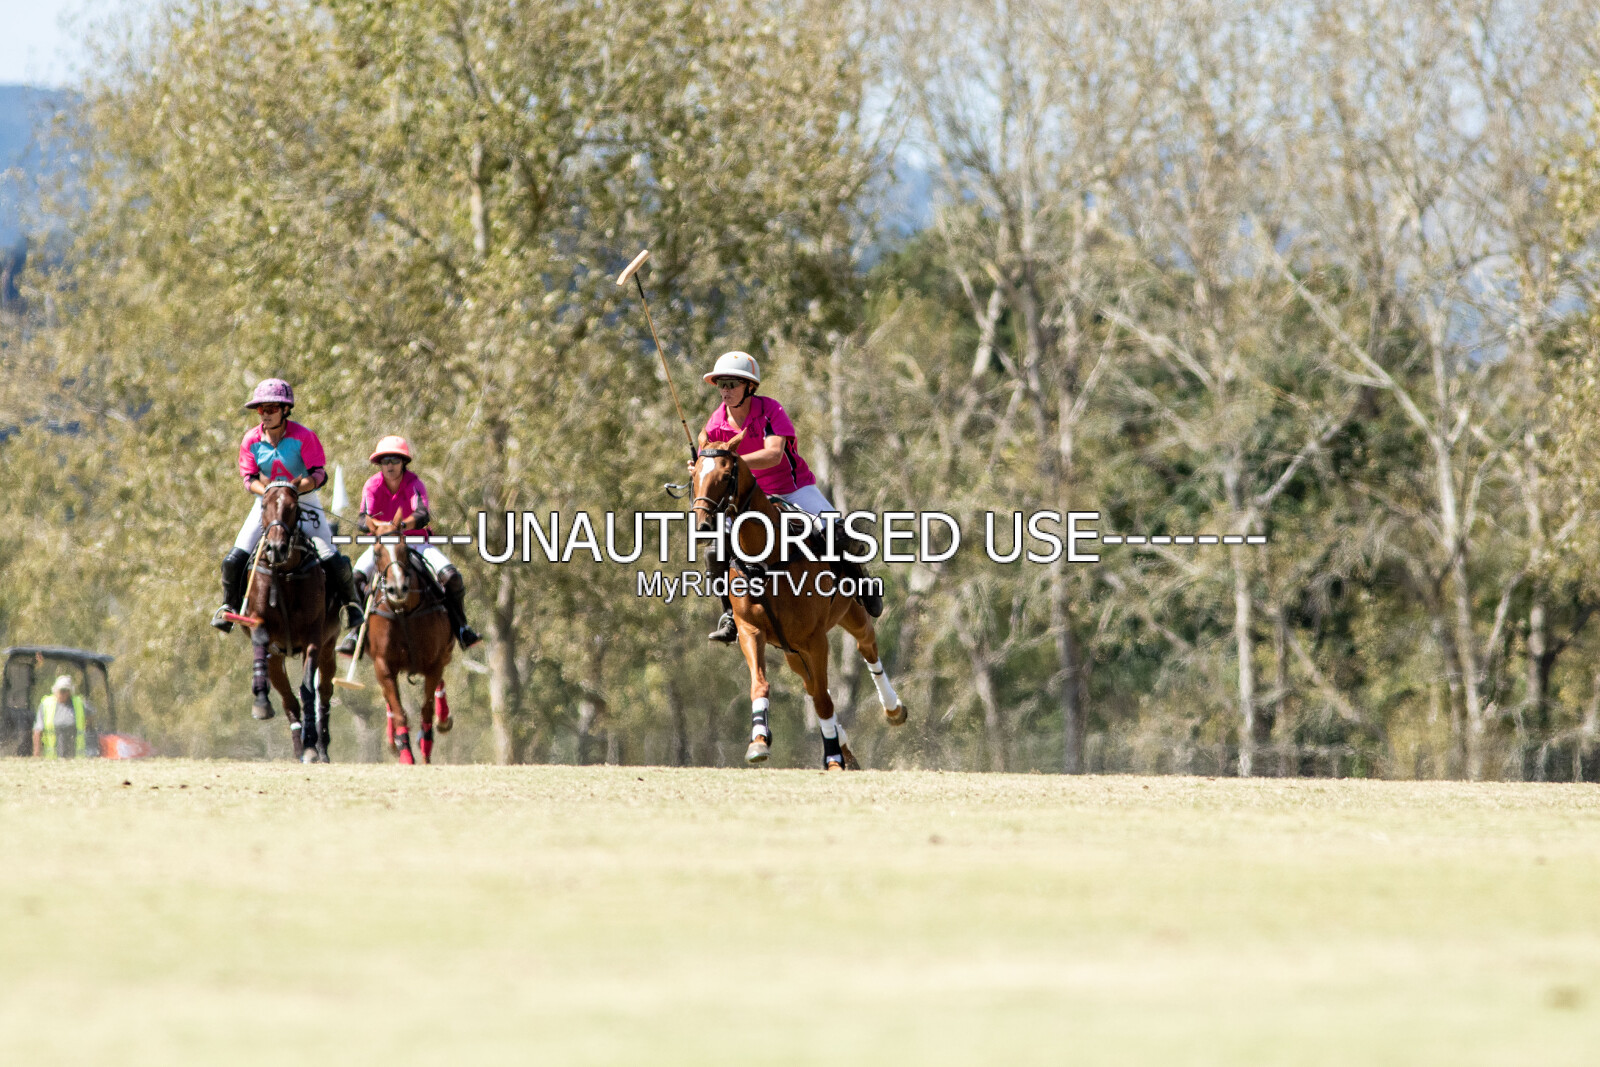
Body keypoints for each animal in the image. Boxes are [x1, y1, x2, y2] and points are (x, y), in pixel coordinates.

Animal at [240, 481, 340, 763]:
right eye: (264, 505)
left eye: (294, 507)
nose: (275, 548)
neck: (285, 573)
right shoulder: (259, 623)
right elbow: (261, 640)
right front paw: (261, 702)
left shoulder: (314, 639)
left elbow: (308, 689)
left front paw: (312, 746)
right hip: (277, 658)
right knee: (287, 698)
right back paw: (298, 745)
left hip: (329, 648)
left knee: (323, 693)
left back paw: (320, 747)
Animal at [365, 517, 455, 765]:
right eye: (377, 553)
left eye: (404, 550)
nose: (397, 589)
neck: (403, 611)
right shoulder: (382, 664)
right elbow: (398, 711)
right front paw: (405, 752)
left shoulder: (434, 662)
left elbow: (426, 708)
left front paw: (425, 749)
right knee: (388, 699)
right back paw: (393, 741)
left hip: (446, 651)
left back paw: (443, 721)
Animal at [689, 445, 908, 769]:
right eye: (694, 476)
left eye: (726, 475)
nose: (703, 525)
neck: (766, 559)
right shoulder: (751, 631)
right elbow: (762, 684)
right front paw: (758, 742)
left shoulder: (814, 639)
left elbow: (823, 700)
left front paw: (832, 757)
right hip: (791, 650)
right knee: (812, 685)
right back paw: (846, 748)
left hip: (847, 614)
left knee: (865, 645)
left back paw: (893, 710)